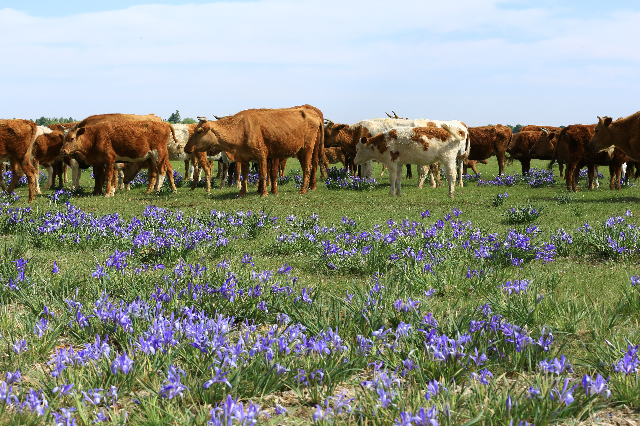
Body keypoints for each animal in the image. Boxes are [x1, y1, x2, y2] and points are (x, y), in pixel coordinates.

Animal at [185, 104, 324, 197]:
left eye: (199, 131)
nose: (186, 148)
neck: (241, 128)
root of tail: (313, 113)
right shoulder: (244, 158)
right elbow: (245, 175)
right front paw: (242, 192)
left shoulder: (262, 155)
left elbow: (263, 174)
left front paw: (264, 192)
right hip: (300, 152)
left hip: (308, 149)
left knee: (308, 168)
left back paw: (303, 190)